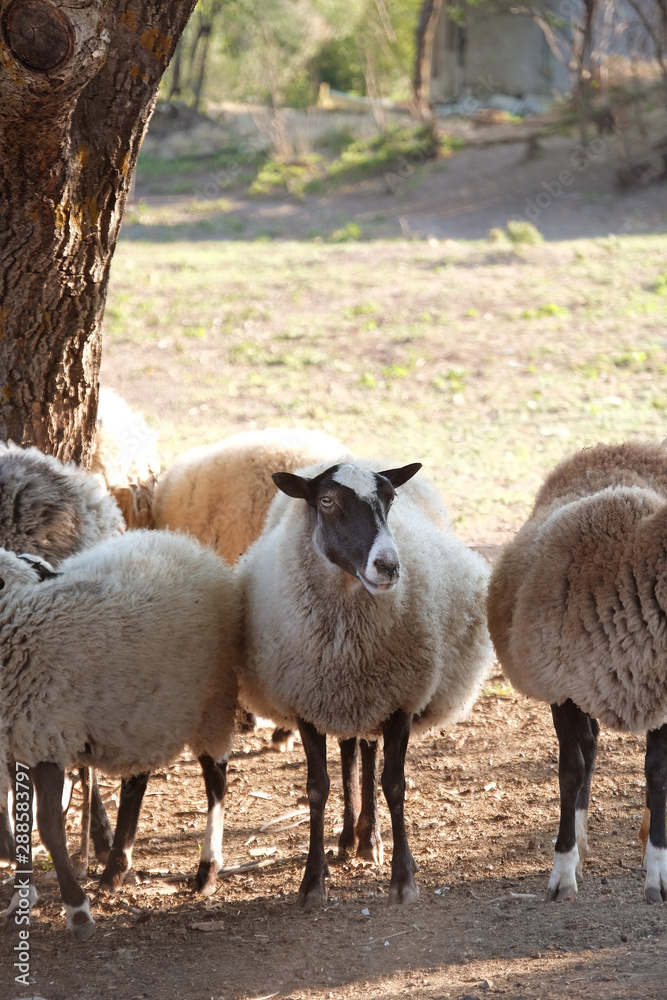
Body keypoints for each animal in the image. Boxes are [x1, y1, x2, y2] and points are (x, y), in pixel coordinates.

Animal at [0, 532, 240, 936]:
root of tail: (184, 542)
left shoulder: (46, 735)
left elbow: (48, 826)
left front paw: (77, 909)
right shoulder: (16, 743)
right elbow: (22, 821)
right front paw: (22, 896)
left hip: (212, 704)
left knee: (215, 781)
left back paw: (207, 869)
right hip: (142, 716)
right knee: (136, 784)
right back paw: (115, 868)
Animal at [237, 458, 494, 912]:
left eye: (390, 498)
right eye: (326, 501)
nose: (389, 566)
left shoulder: (400, 701)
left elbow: (394, 784)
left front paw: (403, 877)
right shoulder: (307, 703)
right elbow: (317, 788)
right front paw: (312, 880)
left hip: (372, 698)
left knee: (367, 753)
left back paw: (368, 839)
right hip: (347, 700)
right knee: (350, 753)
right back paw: (347, 838)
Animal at [488, 442, 667, 904]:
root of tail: (621, 446)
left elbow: (658, 772)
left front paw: (658, 872)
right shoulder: (562, 686)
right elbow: (571, 769)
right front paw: (563, 871)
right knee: (587, 751)